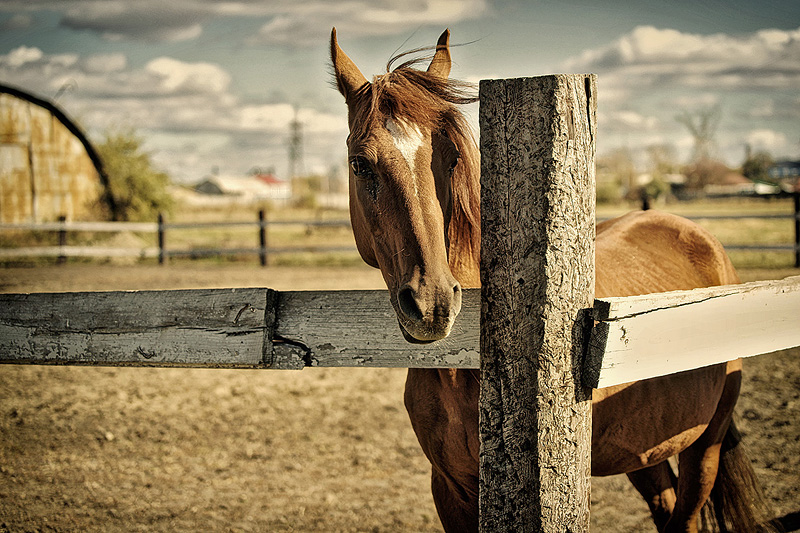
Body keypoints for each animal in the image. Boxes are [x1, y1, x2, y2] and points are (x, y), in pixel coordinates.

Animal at [332, 29, 776, 532]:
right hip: (644, 451)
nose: (432, 304)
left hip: (705, 445)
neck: (466, 369)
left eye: (452, 157)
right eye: (359, 164)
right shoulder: (449, 489)